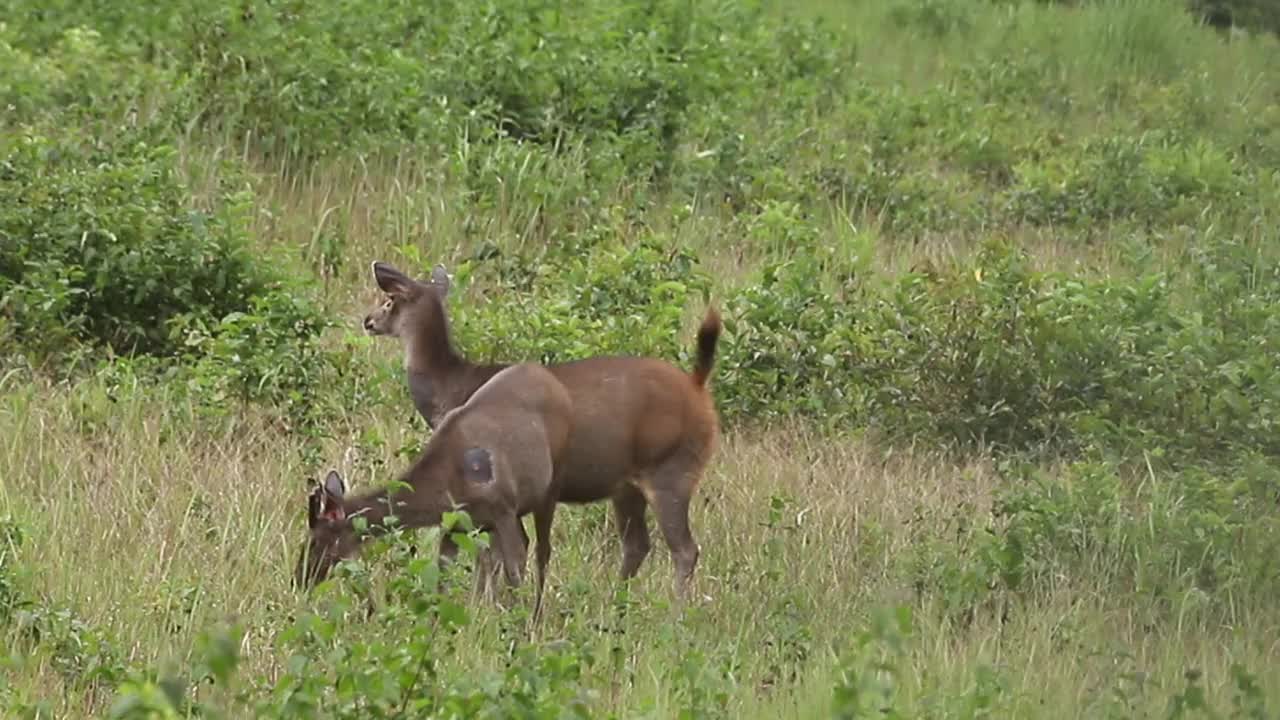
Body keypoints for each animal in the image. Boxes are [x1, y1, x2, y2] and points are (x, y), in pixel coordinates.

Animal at [294, 363, 576, 617]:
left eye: (315, 541)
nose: (300, 579)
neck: (445, 486)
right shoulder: (457, 523)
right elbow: (443, 577)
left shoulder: (503, 507)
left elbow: (513, 568)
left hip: (551, 485)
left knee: (541, 551)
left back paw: (535, 614)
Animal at [360, 258, 721, 594]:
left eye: (389, 300)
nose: (368, 320)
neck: (449, 388)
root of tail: (698, 388)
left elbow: (488, 555)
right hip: (627, 485)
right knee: (637, 545)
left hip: (671, 469)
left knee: (684, 549)